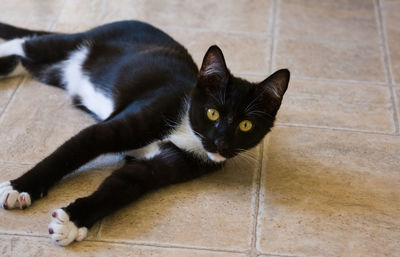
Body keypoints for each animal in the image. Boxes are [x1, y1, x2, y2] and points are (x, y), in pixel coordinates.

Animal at [0, 20, 290, 244]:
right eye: (212, 113)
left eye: (246, 125)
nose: (221, 143)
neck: (186, 131)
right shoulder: (108, 130)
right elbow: (66, 154)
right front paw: (20, 187)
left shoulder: (161, 167)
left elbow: (120, 188)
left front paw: (72, 221)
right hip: (74, 42)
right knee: (26, 43)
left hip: (53, 71)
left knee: (24, 61)